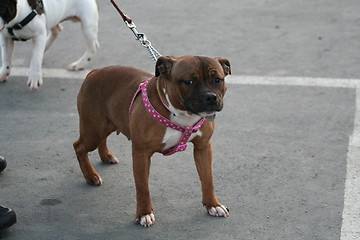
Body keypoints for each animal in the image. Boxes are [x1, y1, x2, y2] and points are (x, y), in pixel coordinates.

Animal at [73, 54, 231, 227]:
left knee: (102, 139)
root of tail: (94, 72)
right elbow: (143, 187)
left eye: (217, 79)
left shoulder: (203, 148)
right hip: (92, 132)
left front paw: (213, 205)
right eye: (188, 81)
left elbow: (208, 179)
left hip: (104, 125)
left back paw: (106, 156)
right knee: (79, 147)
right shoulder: (141, 154)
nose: (211, 97)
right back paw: (91, 175)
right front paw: (144, 213)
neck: (182, 115)